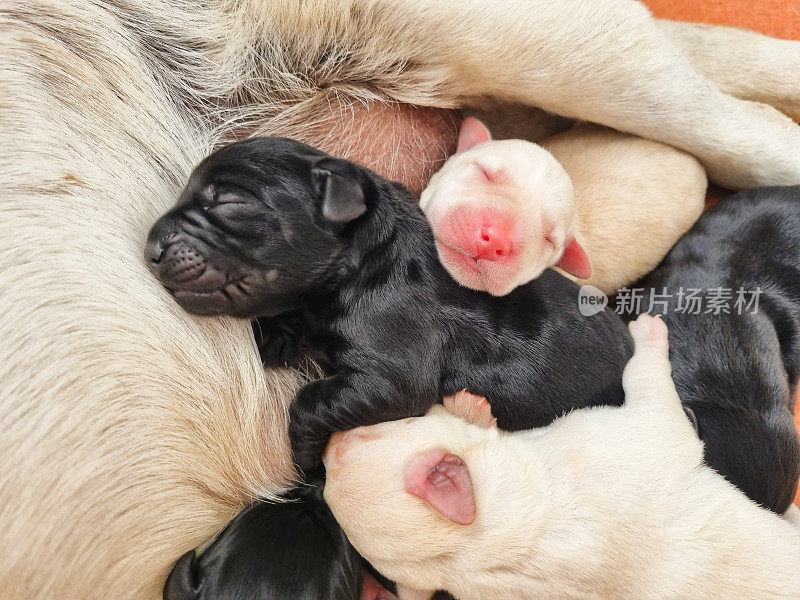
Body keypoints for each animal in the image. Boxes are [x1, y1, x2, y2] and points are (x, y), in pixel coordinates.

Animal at [322, 314, 800, 600]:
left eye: (364, 433)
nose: (324, 447)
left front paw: (468, 406)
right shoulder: (648, 433)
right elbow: (647, 379)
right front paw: (647, 332)